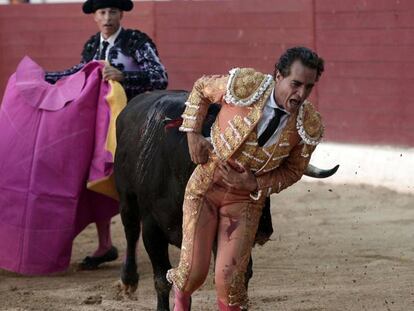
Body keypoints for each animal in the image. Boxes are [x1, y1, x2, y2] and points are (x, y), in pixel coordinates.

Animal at [114, 89, 340, 310]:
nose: (263, 232)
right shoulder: (152, 228)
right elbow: (162, 279)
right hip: (126, 199)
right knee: (131, 231)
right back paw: (128, 281)